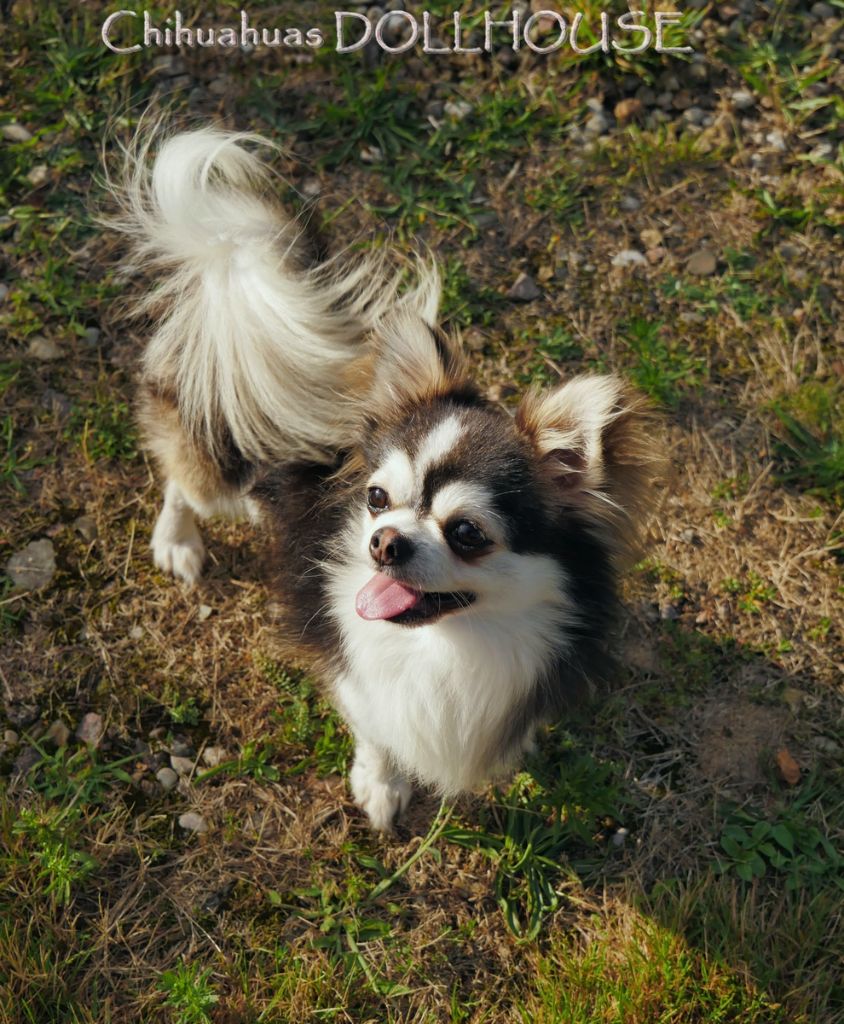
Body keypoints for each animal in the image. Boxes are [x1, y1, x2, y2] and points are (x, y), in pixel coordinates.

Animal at [112, 128, 655, 831]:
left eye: (468, 533)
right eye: (376, 499)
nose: (384, 542)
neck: (450, 646)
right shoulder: (357, 674)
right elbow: (377, 729)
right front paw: (381, 781)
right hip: (215, 463)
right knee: (183, 479)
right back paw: (177, 541)